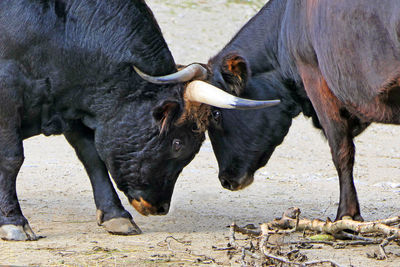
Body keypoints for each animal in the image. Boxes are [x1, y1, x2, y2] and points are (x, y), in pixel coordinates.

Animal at [0, 0, 278, 242]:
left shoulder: (74, 104)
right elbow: (12, 159)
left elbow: (93, 158)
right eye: (178, 144)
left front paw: (116, 215)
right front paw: (14, 222)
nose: (159, 207)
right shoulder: (9, 96)